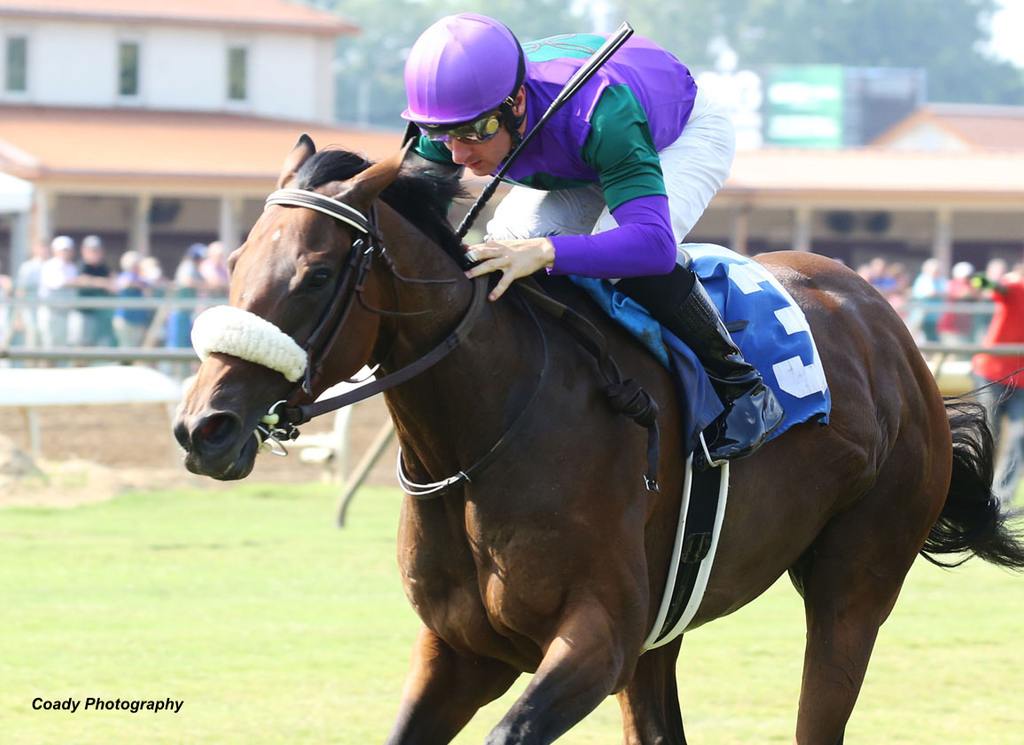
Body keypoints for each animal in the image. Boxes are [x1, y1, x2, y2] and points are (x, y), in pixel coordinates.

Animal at [176, 135, 1024, 745]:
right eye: (237, 260)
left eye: (316, 275)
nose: (202, 426)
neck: (481, 440)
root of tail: (889, 329)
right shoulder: (461, 649)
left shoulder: (598, 636)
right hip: (663, 635)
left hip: (855, 585)